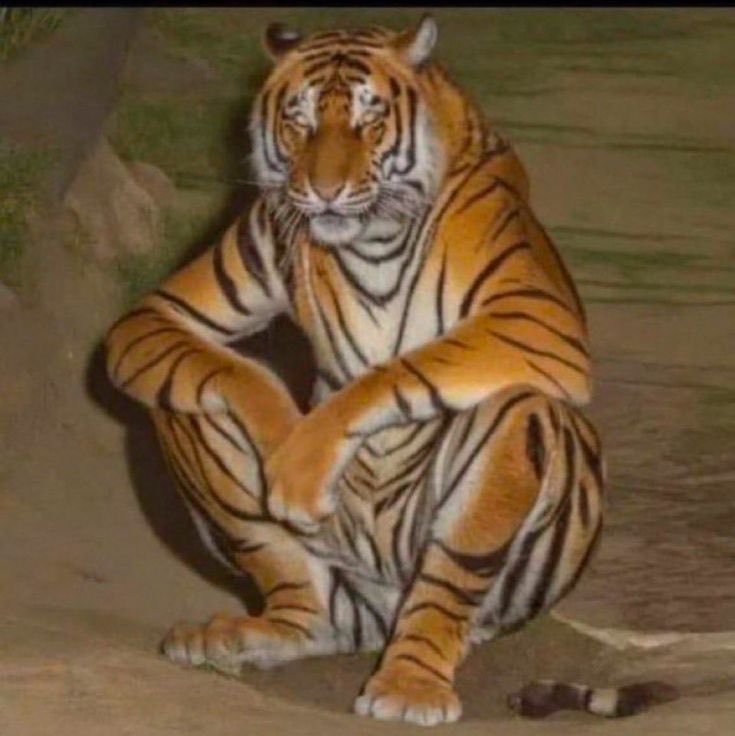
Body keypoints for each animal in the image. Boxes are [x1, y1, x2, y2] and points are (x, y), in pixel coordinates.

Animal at [104, 16, 678, 726]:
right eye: (298, 122)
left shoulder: (539, 319)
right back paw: (251, 633)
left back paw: (410, 685)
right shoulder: (173, 307)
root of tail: (374, 618)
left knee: (457, 561)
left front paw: (303, 455)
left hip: (495, 512)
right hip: (283, 528)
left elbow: (400, 369)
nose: (323, 190)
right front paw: (283, 446)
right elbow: (236, 370)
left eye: (368, 121)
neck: (370, 239)